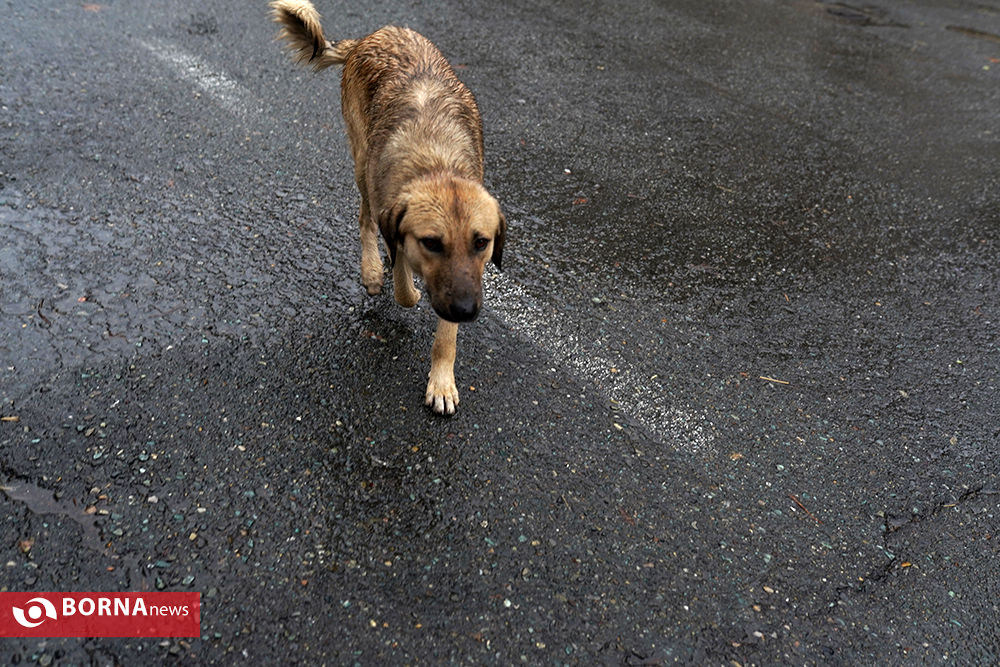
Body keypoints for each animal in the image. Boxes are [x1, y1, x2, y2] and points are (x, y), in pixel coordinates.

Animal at [270, 0, 506, 415]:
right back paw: (372, 270)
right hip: (361, 162)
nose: (465, 310)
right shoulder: (396, 221)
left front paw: (441, 381)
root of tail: (371, 36)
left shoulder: (462, 283)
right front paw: (401, 283)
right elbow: (403, 285)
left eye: (481, 243)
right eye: (432, 243)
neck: (435, 162)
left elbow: (446, 337)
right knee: (365, 220)